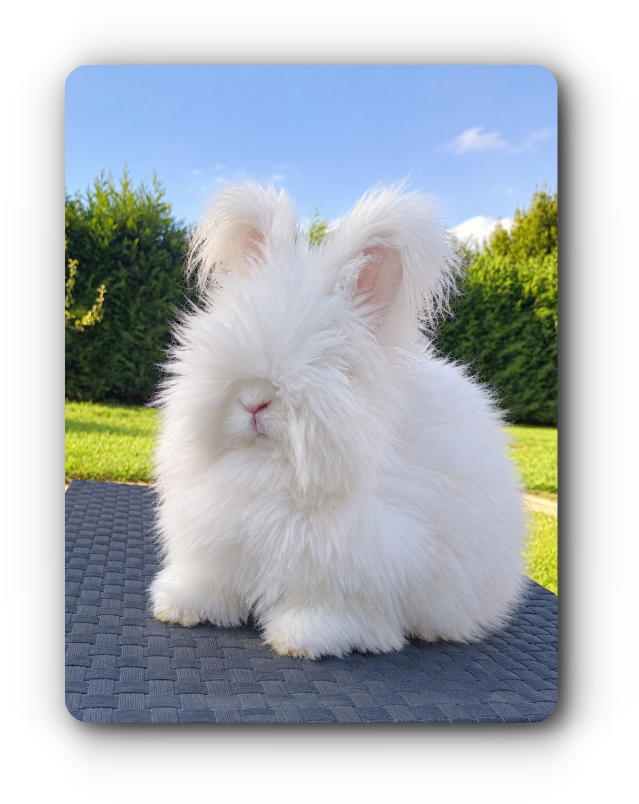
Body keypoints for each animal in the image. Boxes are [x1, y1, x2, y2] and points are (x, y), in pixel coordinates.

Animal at [149, 180, 528, 659]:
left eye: (332, 365)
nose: (254, 401)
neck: (265, 475)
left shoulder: (358, 566)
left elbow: (327, 608)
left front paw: (299, 639)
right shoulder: (214, 542)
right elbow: (210, 582)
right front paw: (177, 606)